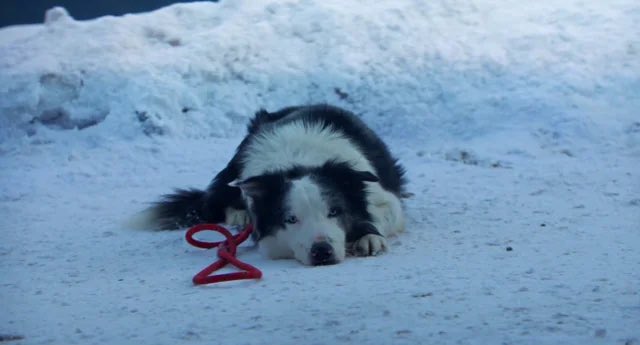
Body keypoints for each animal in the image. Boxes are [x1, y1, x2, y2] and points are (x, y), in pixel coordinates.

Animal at [143, 103, 408, 264]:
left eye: (334, 212)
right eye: (291, 219)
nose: (322, 252)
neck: (299, 162)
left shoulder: (384, 197)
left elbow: (381, 214)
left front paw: (368, 236)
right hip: (233, 169)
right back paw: (240, 215)